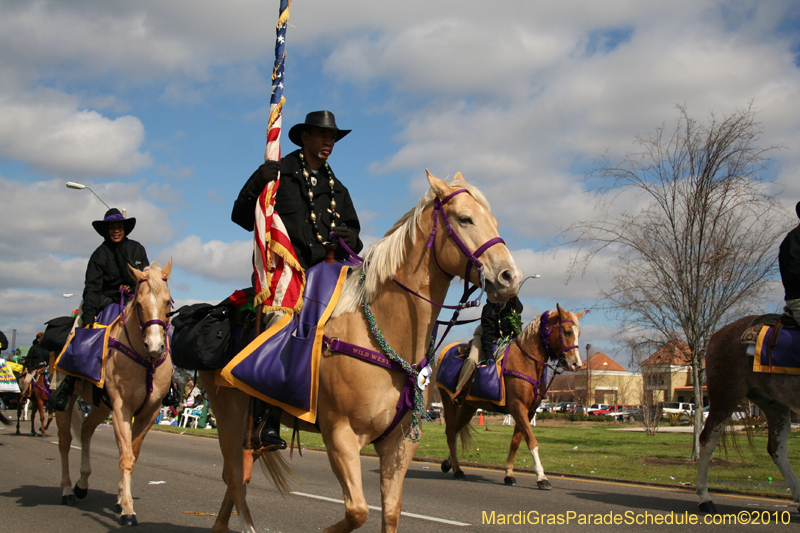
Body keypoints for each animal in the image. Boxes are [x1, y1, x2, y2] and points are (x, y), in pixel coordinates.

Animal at [55, 260, 173, 524]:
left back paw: (82, 484)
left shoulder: (149, 412)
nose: (155, 347)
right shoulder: (121, 407)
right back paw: (67, 490)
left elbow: (132, 453)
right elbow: (125, 457)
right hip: (64, 403)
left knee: (86, 431)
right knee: (65, 442)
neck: (146, 362)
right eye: (138, 304)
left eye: (168, 303)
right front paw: (128, 509)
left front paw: (121, 499)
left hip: (100, 407)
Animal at [200, 171, 520, 532]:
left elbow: (389, 511)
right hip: (229, 415)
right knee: (234, 478)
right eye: (465, 219)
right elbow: (358, 510)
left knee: (239, 475)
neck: (384, 335)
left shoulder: (400, 444)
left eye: (494, 221)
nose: (510, 277)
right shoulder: (340, 435)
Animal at [440, 306, 584, 488]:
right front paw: (542, 477)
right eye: (566, 332)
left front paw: (509, 474)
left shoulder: (528, 412)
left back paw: (449, 463)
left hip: (468, 407)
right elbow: (532, 441)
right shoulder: (518, 407)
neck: (526, 361)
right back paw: (458, 470)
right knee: (451, 432)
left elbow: (515, 442)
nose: (576, 364)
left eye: (578, 333)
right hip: (449, 402)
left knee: (456, 432)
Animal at [692, 316, 800, 512]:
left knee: (777, 449)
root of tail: (718, 334)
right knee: (707, 440)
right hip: (726, 394)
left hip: (774, 404)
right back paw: (705, 497)